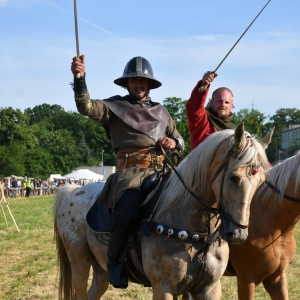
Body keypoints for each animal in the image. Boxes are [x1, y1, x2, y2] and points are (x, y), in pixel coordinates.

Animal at [54, 123, 272, 298]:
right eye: (233, 177)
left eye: (261, 181)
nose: (238, 233)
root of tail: (73, 191)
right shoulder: (163, 287)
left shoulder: (209, 288)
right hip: (79, 261)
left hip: (100, 269)